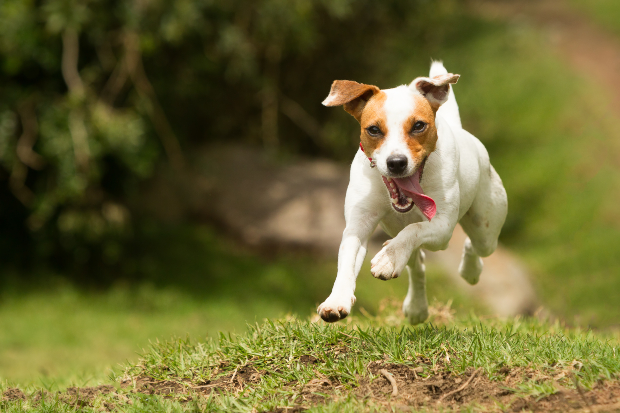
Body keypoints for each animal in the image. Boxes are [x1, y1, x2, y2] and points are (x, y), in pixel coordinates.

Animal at [318, 62, 506, 326]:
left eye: (418, 125)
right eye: (373, 129)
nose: (396, 162)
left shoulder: (442, 225)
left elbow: (414, 229)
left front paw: (388, 257)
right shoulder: (358, 225)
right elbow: (347, 258)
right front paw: (336, 300)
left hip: (485, 229)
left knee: (474, 244)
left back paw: (470, 271)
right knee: (418, 265)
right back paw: (416, 307)